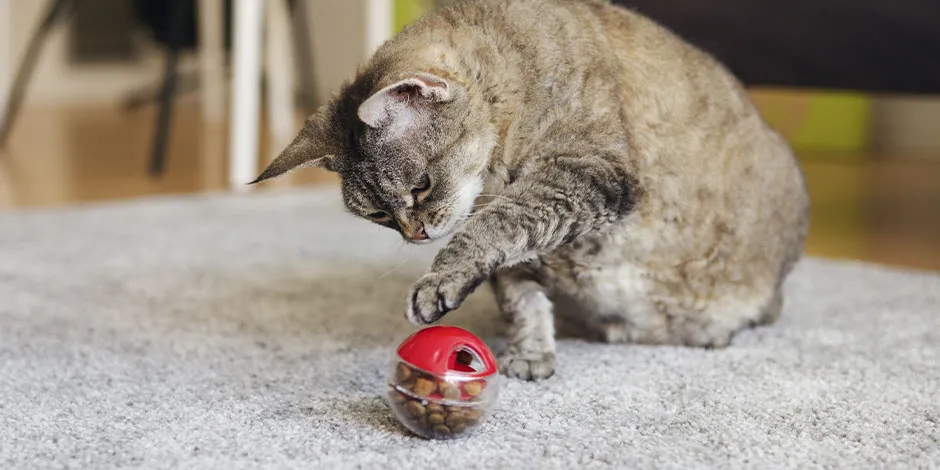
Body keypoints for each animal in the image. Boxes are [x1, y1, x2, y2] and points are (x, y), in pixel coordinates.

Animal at [250, 0, 808, 382]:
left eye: (420, 187)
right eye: (381, 216)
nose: (415, 234)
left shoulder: (586, 174)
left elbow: (491, 228)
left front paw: (438, 280)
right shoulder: (522, 255)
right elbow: (521, 300)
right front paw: (531, 354)